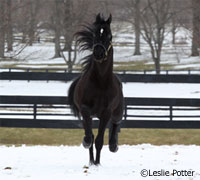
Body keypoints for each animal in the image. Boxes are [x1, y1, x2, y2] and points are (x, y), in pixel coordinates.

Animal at [68, 13, 123, 166]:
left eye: (109, 35)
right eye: (95, 34)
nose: (98, 53)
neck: (101, 82)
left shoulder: (106, 113)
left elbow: (99, 141)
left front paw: (98, 164)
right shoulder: (85, 110)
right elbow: (90, 137)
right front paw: (87, 146)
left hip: (117, 112)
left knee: (116, 123)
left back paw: (113, 146)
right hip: (88, 116)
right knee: (91, 134)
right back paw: (91, 160)